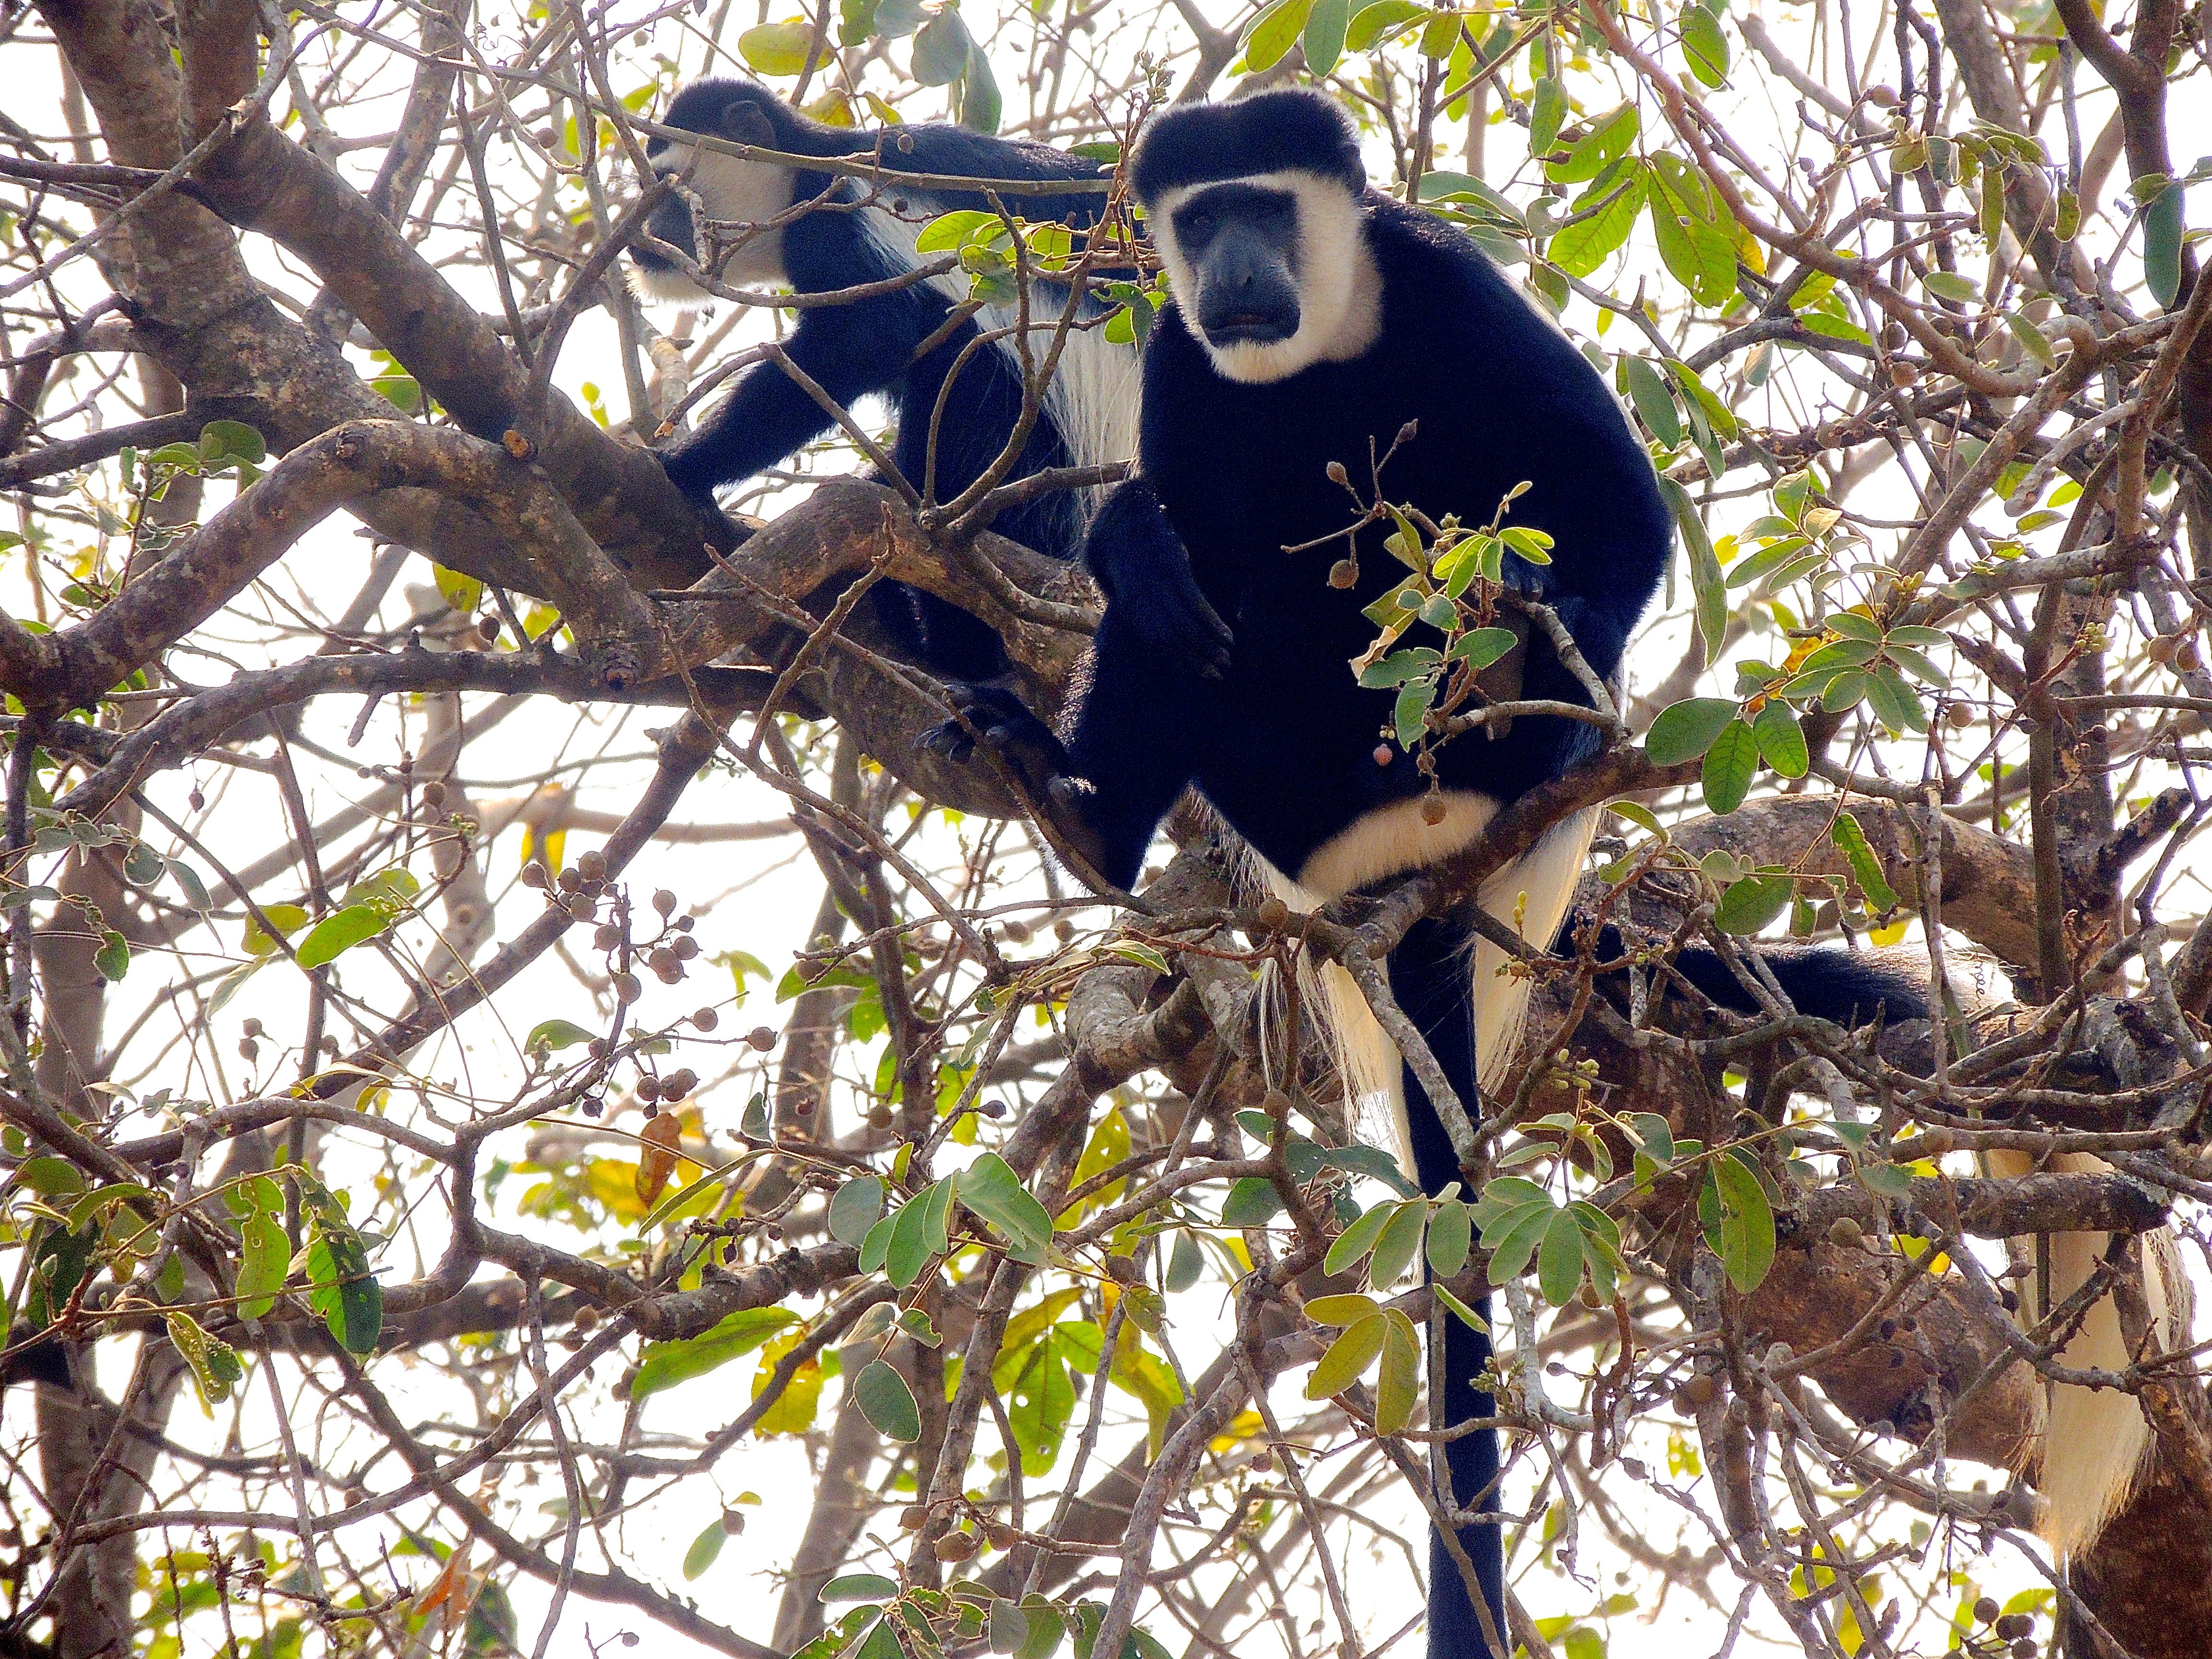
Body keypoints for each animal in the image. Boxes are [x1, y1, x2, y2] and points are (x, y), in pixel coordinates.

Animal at [624, 81, 1141, 677]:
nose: (635, 242)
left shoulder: (849, 225)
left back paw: (955, 657)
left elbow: (864, 341)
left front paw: (687, 465)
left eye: (664, 191)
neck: (810, 174)